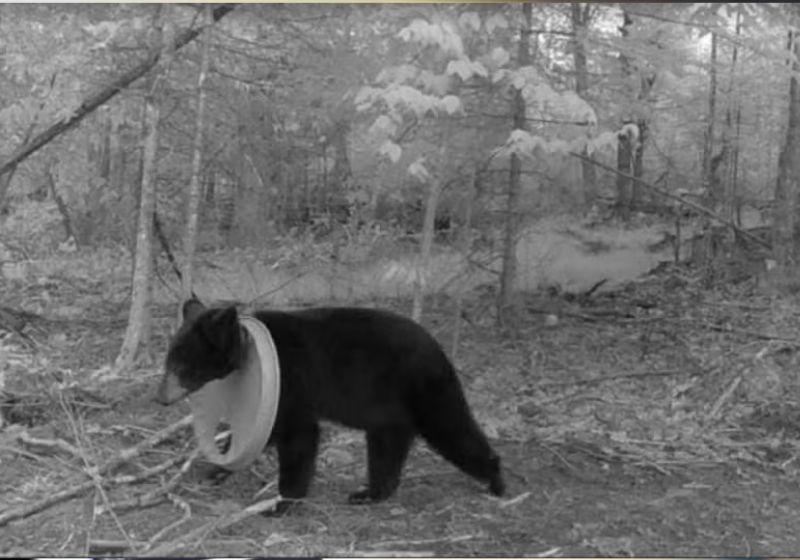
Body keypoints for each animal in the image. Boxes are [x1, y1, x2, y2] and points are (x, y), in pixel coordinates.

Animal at [156, 298, 505, 513]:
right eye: (168, 361)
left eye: (182, 366)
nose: (160, 397)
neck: (246, 348)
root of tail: (438, 348)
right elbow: (259, 434)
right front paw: (216, 469)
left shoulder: (291, 384)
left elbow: (299, 437)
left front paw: (281, 502)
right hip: (387, 409)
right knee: (387, 447)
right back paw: (369, 493)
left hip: (424, 389)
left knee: (453, 428)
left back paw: (496, 481)